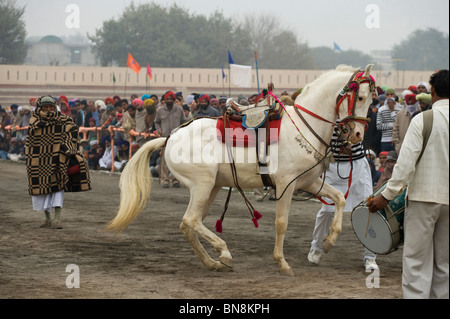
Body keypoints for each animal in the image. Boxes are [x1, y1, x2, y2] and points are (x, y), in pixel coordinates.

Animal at [106, 63, 376, 276]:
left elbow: (340, 198)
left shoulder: (308, 182)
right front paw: (282, 262)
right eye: (361, 97)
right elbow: (282, 223)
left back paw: (212, 262)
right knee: (190, 219)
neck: (303, 126)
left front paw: (329, 241)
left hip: (212, 187)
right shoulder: (286, 184)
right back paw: (224, 252)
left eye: (372, 99)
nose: (357, 134)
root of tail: (170, 136)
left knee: (189, 224)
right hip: (203, 185)